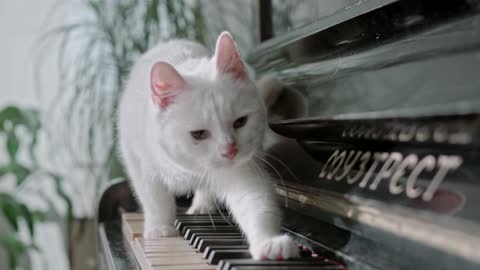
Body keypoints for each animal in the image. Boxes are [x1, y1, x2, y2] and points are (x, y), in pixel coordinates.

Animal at [118, 31, 298, 260]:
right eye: (199, 134)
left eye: (240, 122)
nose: (230, 150)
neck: (187, 169)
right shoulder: (140, 163)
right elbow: (155, 198)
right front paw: (160, 229)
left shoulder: (243, 172)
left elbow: (255, 204)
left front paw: (268, 242)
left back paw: (203, 204)